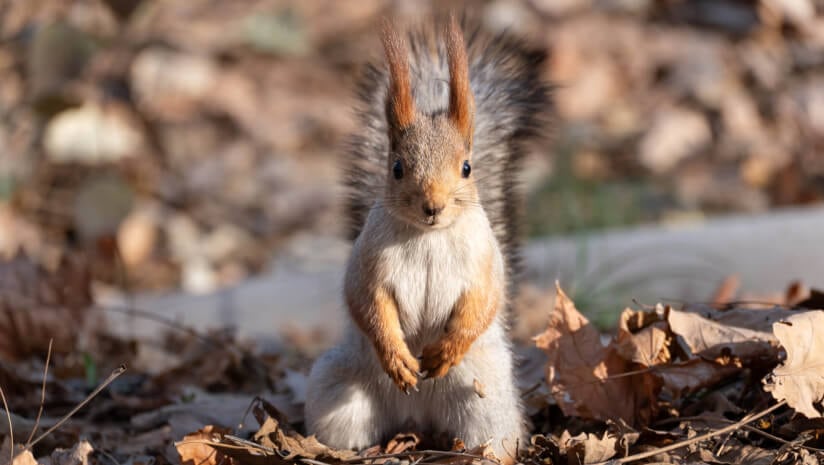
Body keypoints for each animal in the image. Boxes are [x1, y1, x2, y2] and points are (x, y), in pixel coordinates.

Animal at [305, 14, 551, 463]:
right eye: (397, 167)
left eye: (467, 167)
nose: (432, 206)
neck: (428, 237)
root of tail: (418, 418)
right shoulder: (367, 263)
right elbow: (368, 304)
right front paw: (397, 356)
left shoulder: (484, 261)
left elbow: (484, 302)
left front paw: (448, 348)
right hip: (339, 392)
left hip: (487, 404)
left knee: (492, 437)